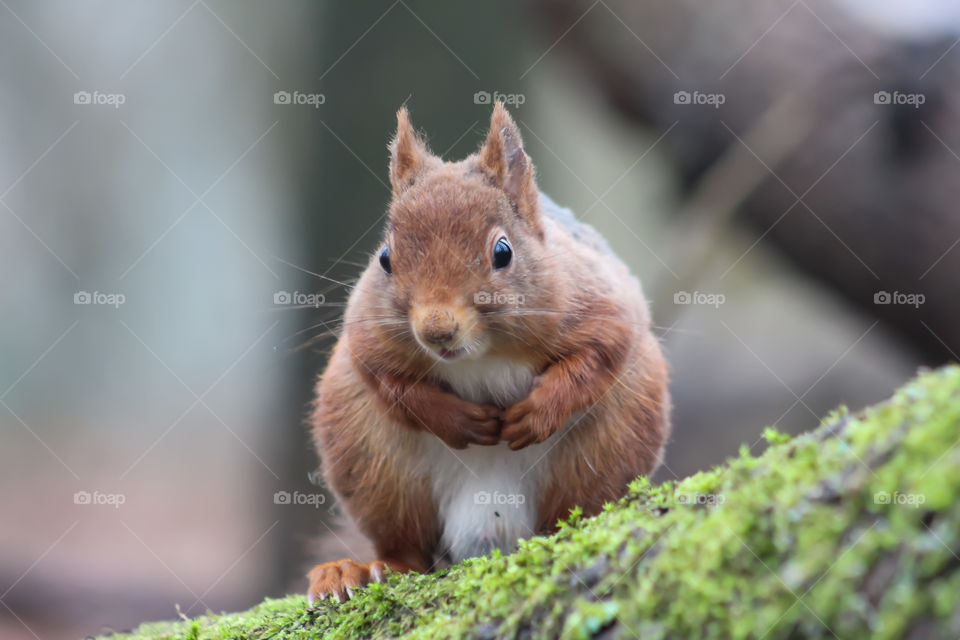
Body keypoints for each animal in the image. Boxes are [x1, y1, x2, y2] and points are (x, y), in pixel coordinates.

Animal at [306, 103, 670, 603]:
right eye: (384, 259)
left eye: (503, 252)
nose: (436, 330)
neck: (481, 352)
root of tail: (488, 529)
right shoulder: (366, 334)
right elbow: (387, 381)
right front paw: (456, 420)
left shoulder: (603, 304)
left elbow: (596, 359)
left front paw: (535, 415)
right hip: (376, 468)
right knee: (407, 551)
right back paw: (356, 571)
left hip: (606, 450)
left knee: (573, 513)